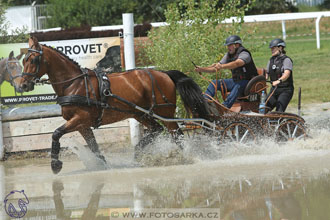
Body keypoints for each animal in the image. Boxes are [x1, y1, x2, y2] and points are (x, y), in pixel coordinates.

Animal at [18, 35, 209, 174]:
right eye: (23, 60)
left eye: (33, 60)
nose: (23, 85)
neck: (74, 84)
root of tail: (163, 73)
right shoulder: (82, 125)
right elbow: (93, 146)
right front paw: (102, 164)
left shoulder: (80, 118)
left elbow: (56, 133)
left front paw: (55, 164)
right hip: (140, 114)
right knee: (157, 130)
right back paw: (138, 154)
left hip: (165, 114)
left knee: (177, 135)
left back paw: (188, 157)